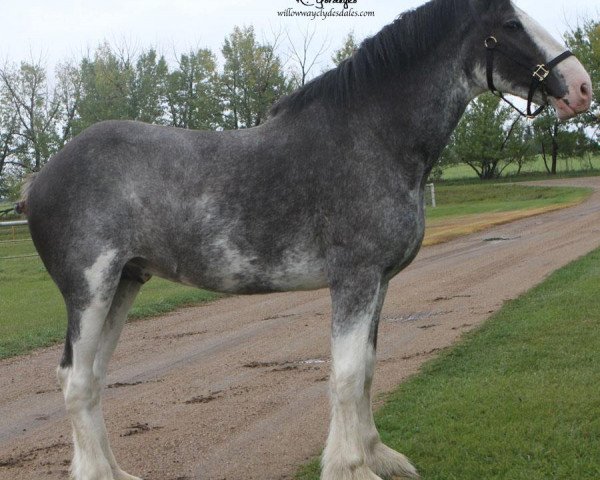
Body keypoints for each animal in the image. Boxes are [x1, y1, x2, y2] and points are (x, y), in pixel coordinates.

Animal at [17, 0, 592, 480]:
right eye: (511, 24)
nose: (583, 86)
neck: (372, 136)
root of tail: (38, 180)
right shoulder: (355, 279)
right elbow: (346, 374)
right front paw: (351, 468)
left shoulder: (378, 282)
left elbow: (366, 370)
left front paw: (378, 457)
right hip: (91, 291)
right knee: (76, 380)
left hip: (124, 284)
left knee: (93, 378)